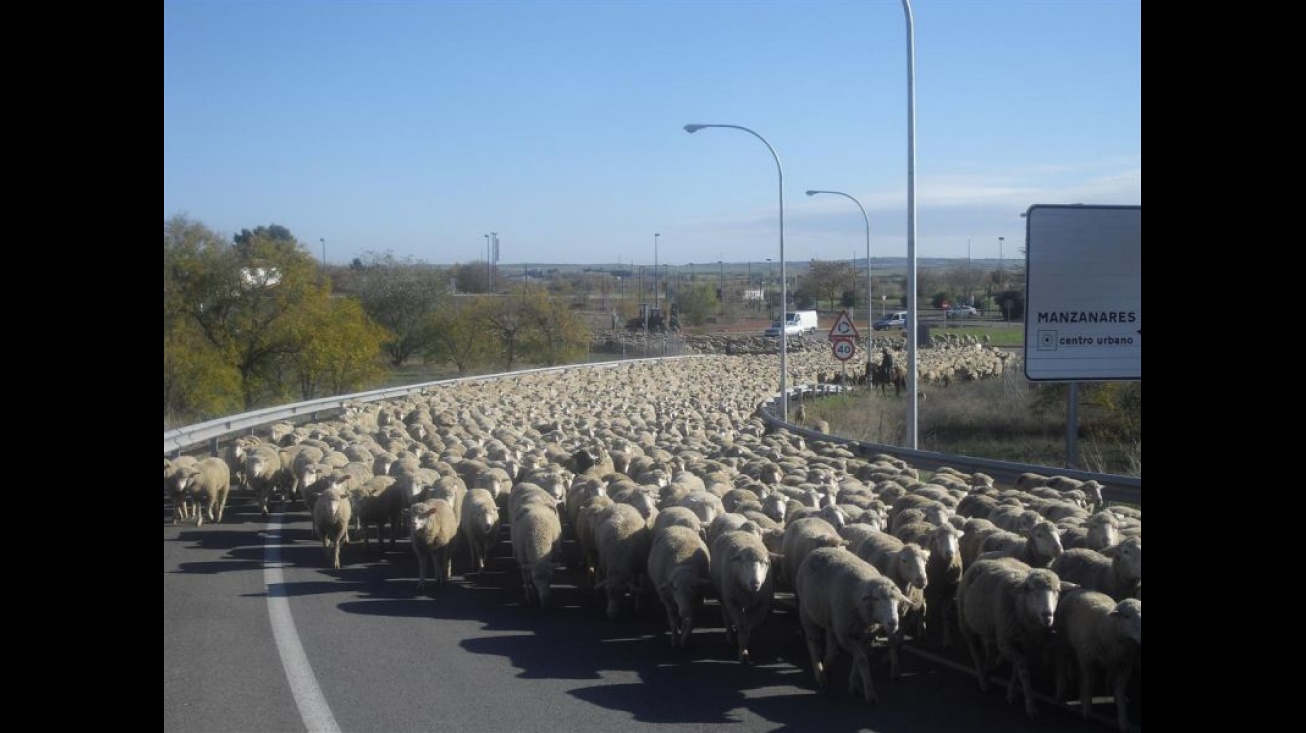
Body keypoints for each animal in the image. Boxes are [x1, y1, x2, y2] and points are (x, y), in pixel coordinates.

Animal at [710, 525, 778, 663]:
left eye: (765, 563)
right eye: (743, 562)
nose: (755, 582)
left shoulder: (760, 605)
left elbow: (748, 625)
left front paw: (744, 646)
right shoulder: (732, 601)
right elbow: (742, 625)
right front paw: (742, 652)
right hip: (723, 597)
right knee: (725, 614)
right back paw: (731, 637)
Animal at [788, 543, 914, 705]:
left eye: (898, 601)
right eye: (877, 599)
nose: (893, 623)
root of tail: (820, 549)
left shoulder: (866, 636)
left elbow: (858, 659)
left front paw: (854, 683)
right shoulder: (846, 635)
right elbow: (862, 660)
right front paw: (868, 692)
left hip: (831, 616)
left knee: (830, 638)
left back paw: (828, 663)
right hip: (806, 610)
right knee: (812, 641)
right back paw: (820, 673)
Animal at [955, 553, 1065, 716]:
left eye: (1057, 591)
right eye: (1032, 590)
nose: (1047, 615)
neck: (1021, 607)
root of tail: (984, 557)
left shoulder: (1026, 644)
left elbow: (1017, 670)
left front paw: (1012, 694)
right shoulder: (1005, 642)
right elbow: (1023, 670)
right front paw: (1030, 705)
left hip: (986, 622)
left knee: (986, 643)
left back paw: (989, 665)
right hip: (964, 620)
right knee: (974, 650)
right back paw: (983, 681)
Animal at [1050, 585, 1144, 726]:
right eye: (1126, 616)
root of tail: (1078, 589)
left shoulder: (1124, 665)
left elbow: (1120, 692)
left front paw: (1123, 721)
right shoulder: (1087, 661)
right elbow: (1089, 685)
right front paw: (1087, 712)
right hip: (1063, 642)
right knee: (1063, 665)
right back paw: (1061, 694)